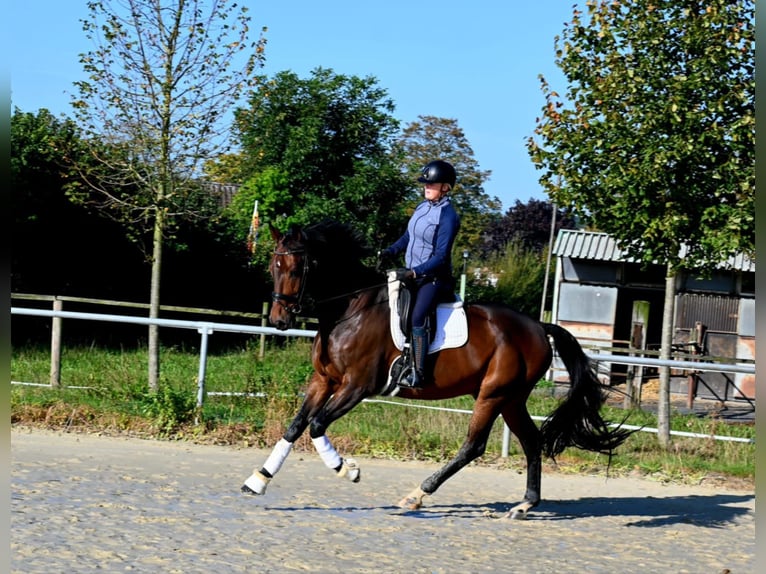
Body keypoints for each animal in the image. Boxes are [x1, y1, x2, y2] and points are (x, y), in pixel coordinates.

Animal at [243, 220, 632, 520]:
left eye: (296, 269)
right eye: (273, 268)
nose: (279, 321)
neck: (349, 309)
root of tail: (538, 327)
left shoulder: (357, 386)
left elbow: (317, 425)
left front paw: (347, 470)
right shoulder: (323, 381)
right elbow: (296, 426)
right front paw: (258, 480)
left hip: (494, 394)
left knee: (473, 446)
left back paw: (417, 494)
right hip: (510, 398)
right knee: (530, 440)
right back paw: (524, 505)